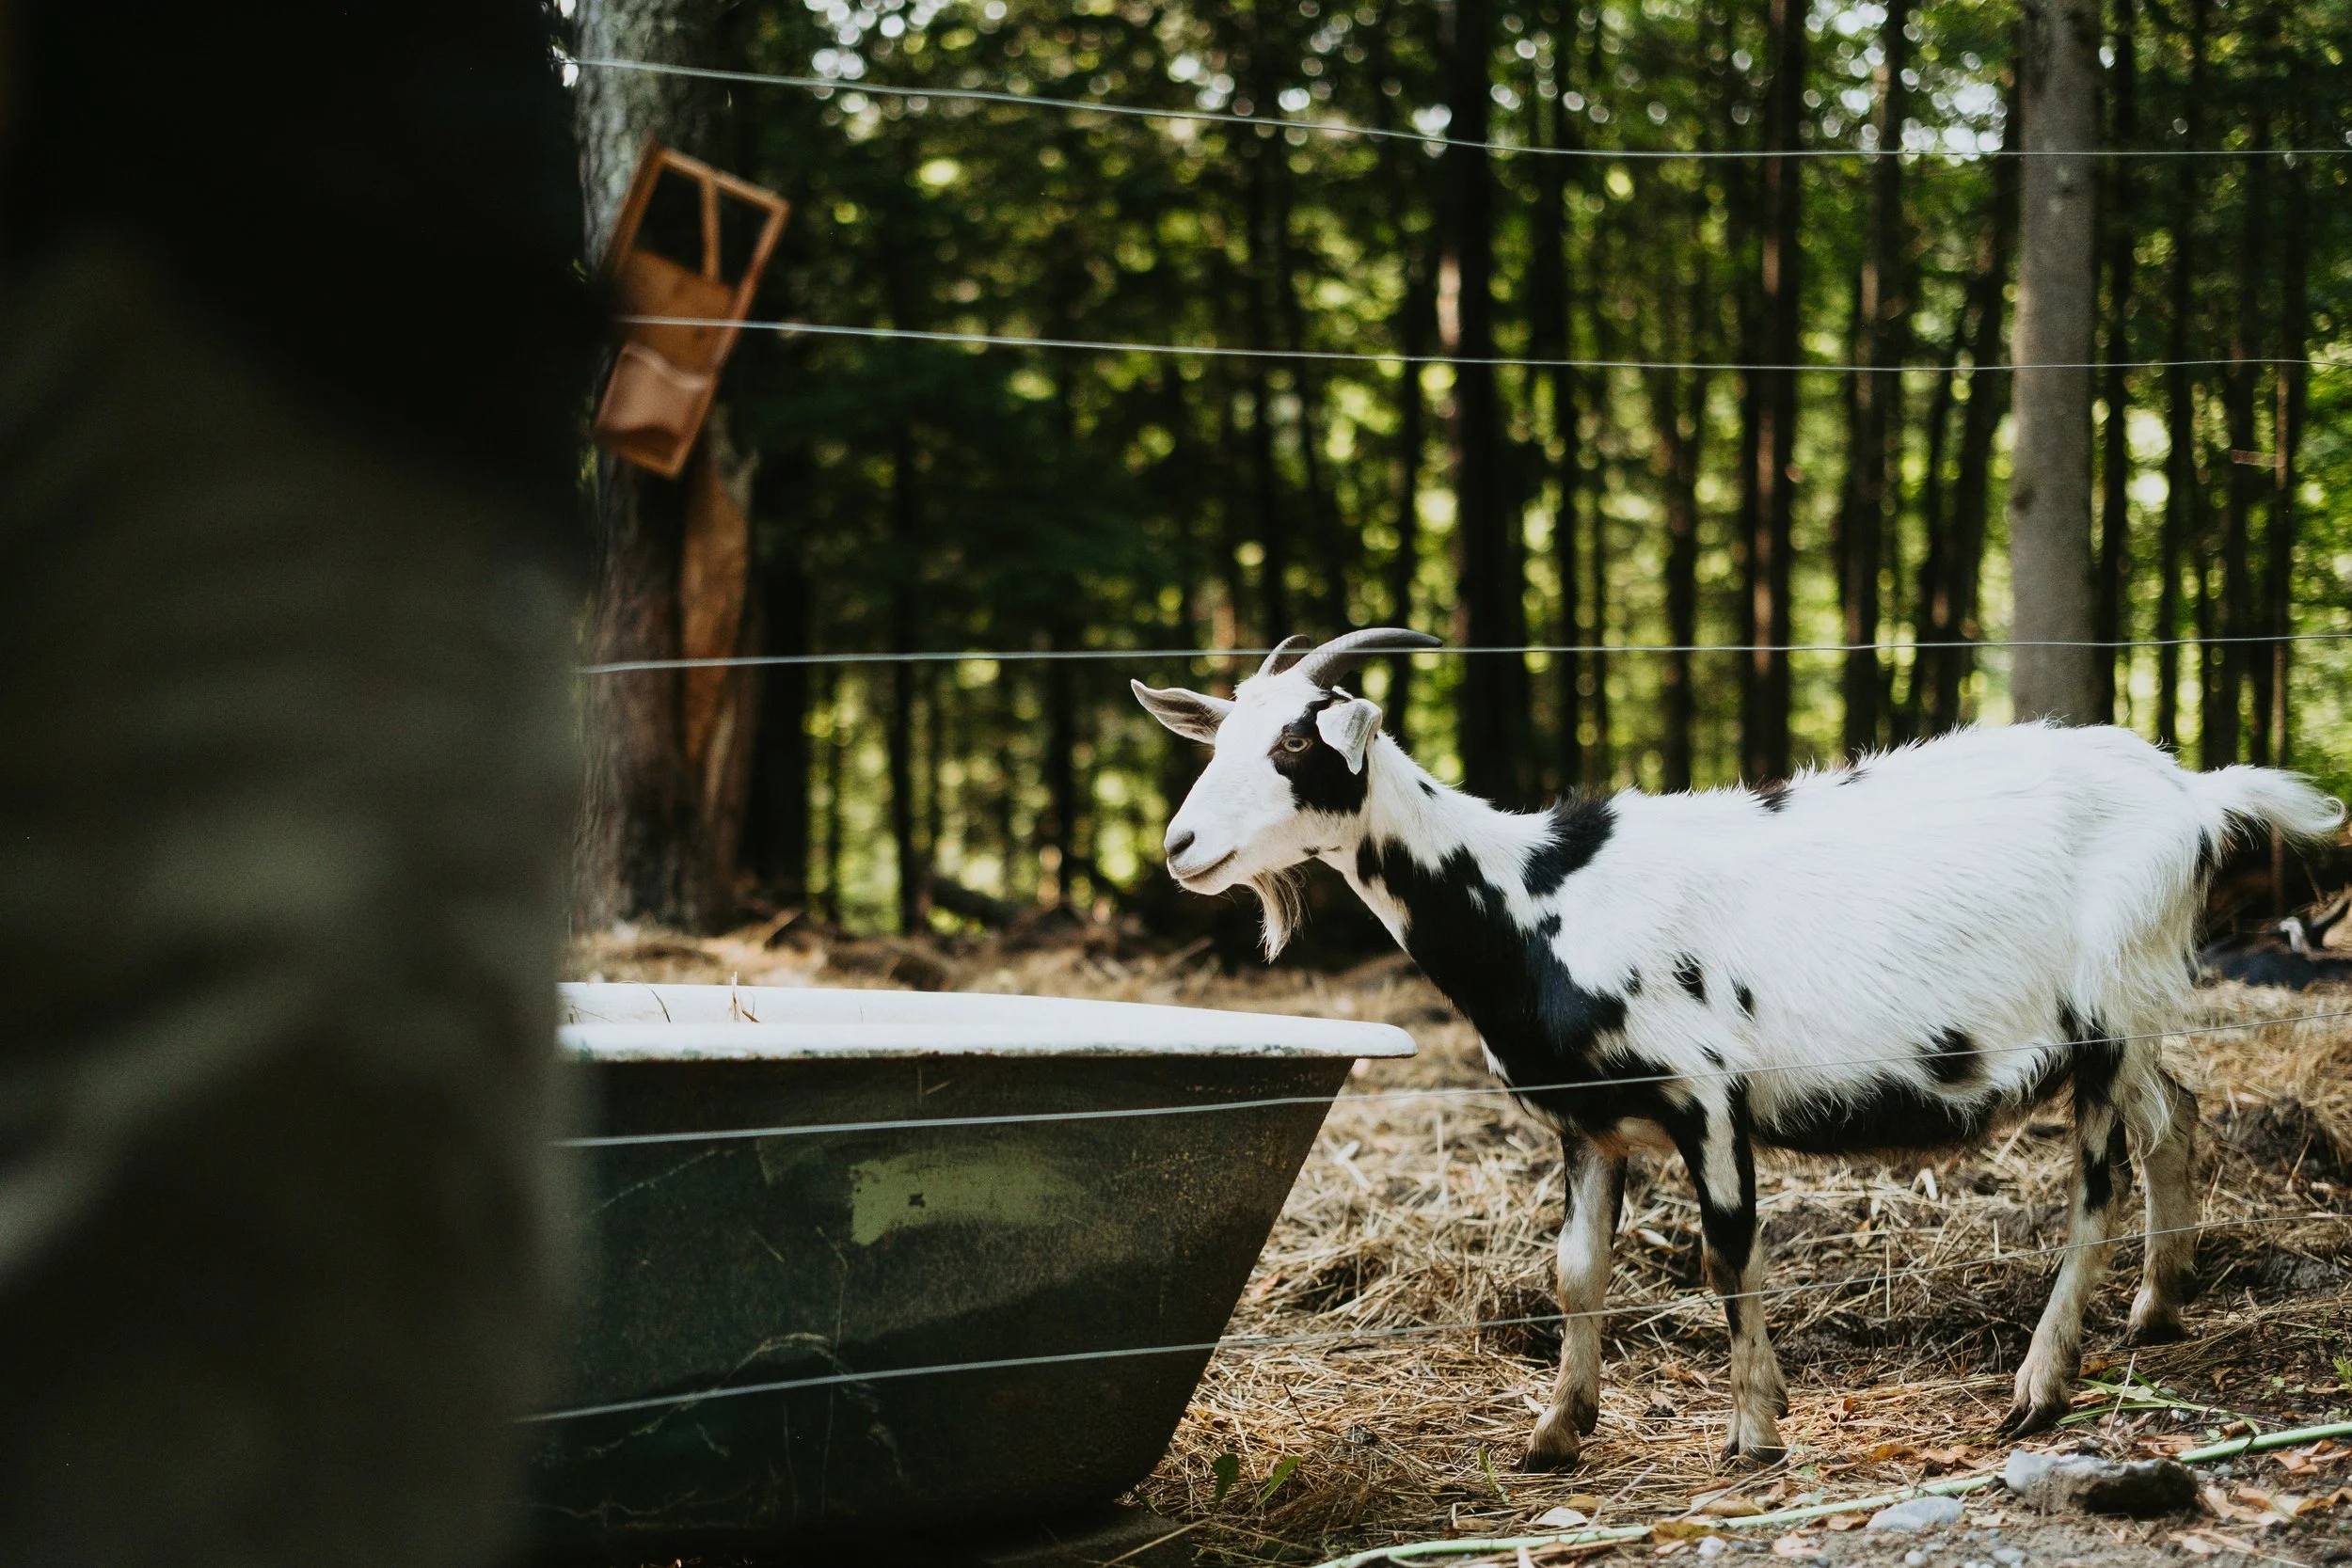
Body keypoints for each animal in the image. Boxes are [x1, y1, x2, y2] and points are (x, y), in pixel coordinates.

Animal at [1135, 628, 2344, 1470]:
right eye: (1222, 735)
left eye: (1296, 740)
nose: (1180, 846)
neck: (1536, 899)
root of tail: (2195, 794)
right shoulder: (1588, 1121)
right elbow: (1575, 1271)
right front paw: (1554, 1431)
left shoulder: (1706, 1092)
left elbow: (1728, 1251)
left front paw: (1755, 1427)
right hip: (2128, 1010)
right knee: (2175, 1114)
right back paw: (2158, 1308)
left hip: (2100, 1009)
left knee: (2096, 1181)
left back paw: (2040, 1384)